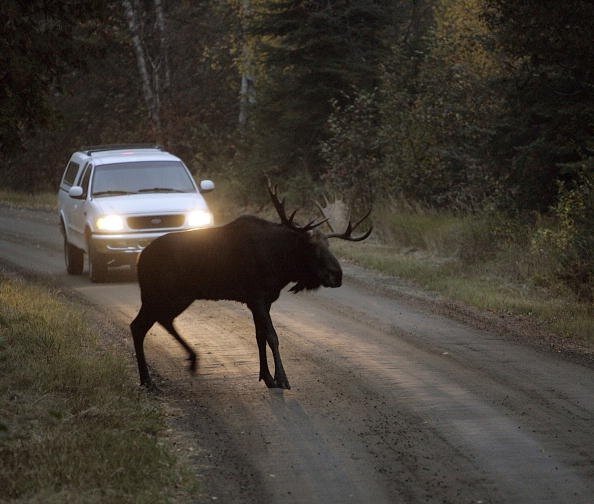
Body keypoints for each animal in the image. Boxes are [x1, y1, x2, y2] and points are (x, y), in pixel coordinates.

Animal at [130, 182, 370, 390]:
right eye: (311, 246)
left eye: (329, 245)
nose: (337, 275)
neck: (280, 265)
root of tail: (140, 259)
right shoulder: (256, 297)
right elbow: (272, 336)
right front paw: (282, 379)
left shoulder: (264, 300)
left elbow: (260, 336)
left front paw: (267, 377)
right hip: (158, 295)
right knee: (138, 326)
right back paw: (147, 380)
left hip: (179, 297)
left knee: (162, 321)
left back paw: (188, 360)